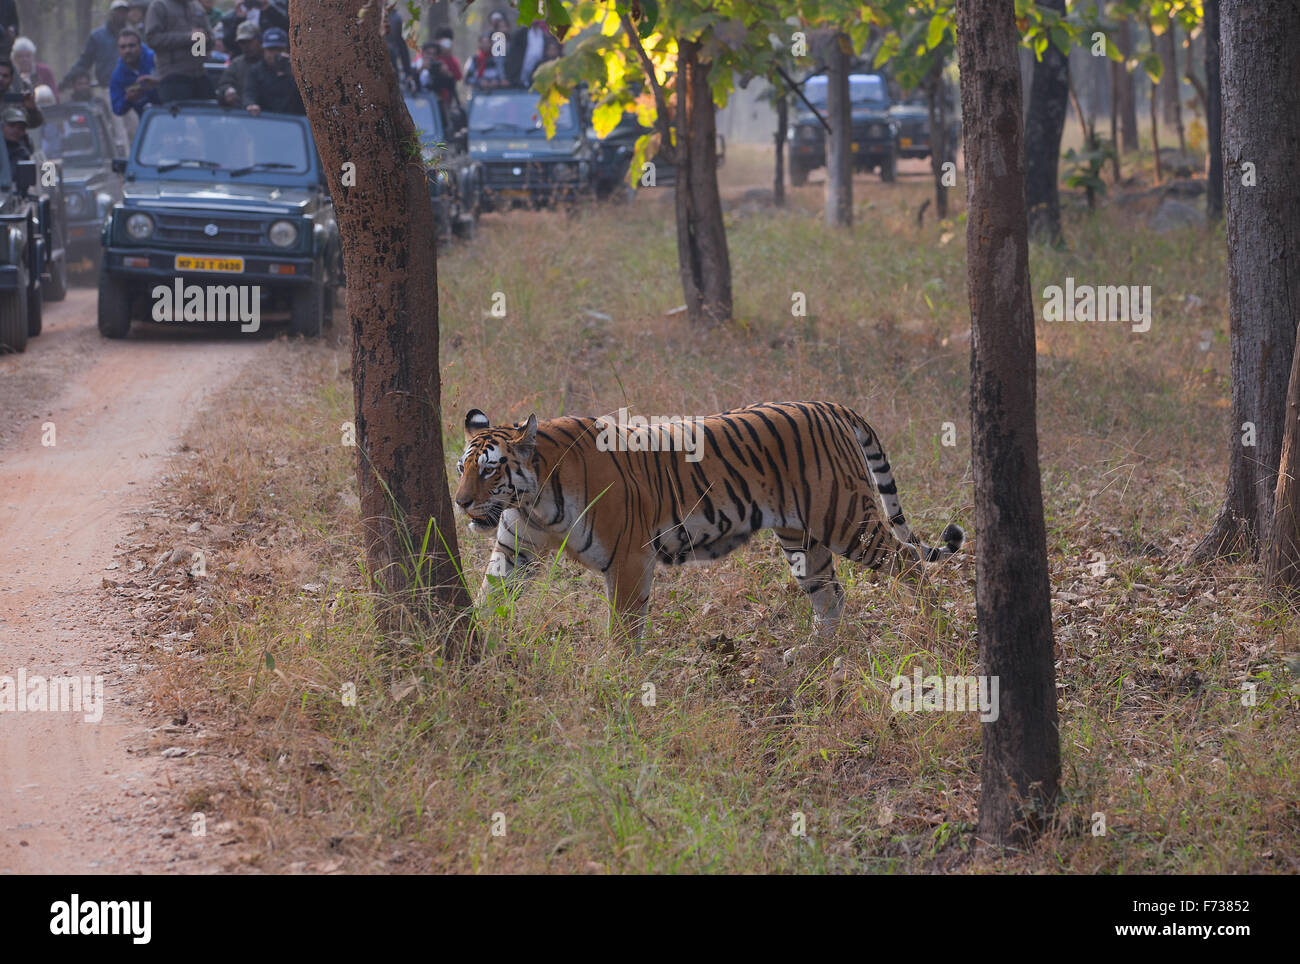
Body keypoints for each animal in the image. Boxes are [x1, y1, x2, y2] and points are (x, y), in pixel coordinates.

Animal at [452, 402, 961, 641]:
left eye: (490, 469)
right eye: (462, 468)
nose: (459, 503)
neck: (535, 498)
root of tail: (829, 406)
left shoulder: (629, 559)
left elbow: (624, 629)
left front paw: (619, 679)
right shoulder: (514, 548)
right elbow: (489, 595)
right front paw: (472, 646)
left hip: (846, 519)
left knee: (909, 559)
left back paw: (934, 625)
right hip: (801, 539)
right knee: (831, 595)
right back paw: (813, 655)